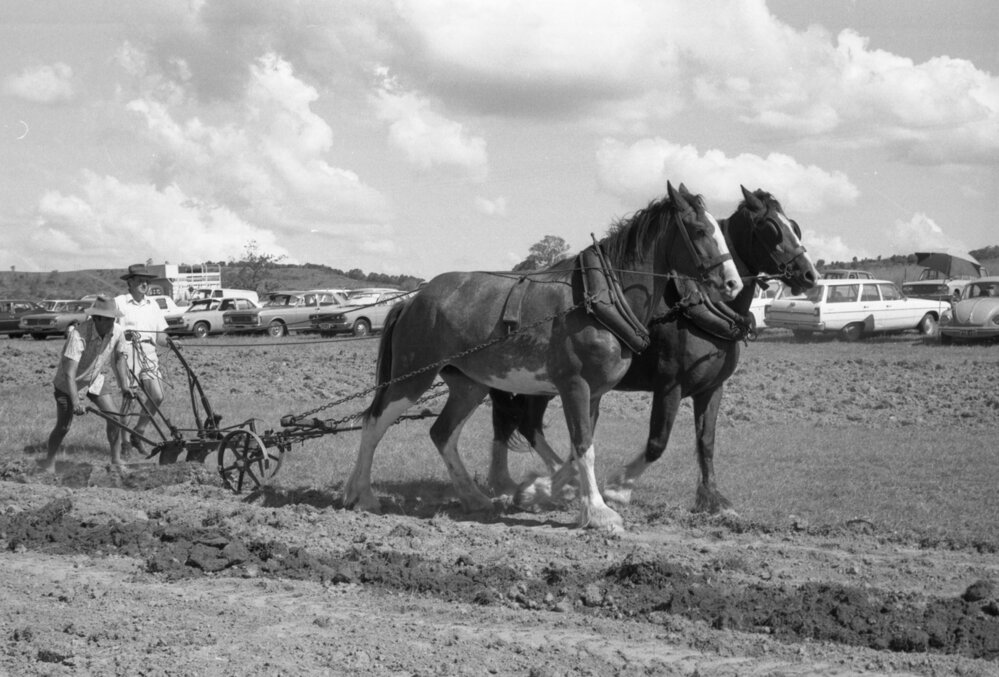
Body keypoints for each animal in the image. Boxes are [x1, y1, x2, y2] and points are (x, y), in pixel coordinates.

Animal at [342, 182, 744, 531]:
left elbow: (580, 448)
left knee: (442, 433)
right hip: (412, 377)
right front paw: (598, 512)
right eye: (699, 230)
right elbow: (583, 447)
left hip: (469, 385)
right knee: (374, 423)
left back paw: (474, 498)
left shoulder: (594, 392)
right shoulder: (575, 385)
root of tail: (412, 300)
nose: (733, 283)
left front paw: (543, 492)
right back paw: (362, 495)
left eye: (720, 229)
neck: (599, 298)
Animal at [487, 186, 818, 515]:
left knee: (515, 422)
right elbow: (658, 442)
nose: (809, 275)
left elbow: (706, 441)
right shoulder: (670, 386)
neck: (701, 309)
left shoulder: (712, 388)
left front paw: (712, 498)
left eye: (794, 226)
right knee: (523, 423)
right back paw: (535, 487)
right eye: (771, 228)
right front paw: (618, 487)